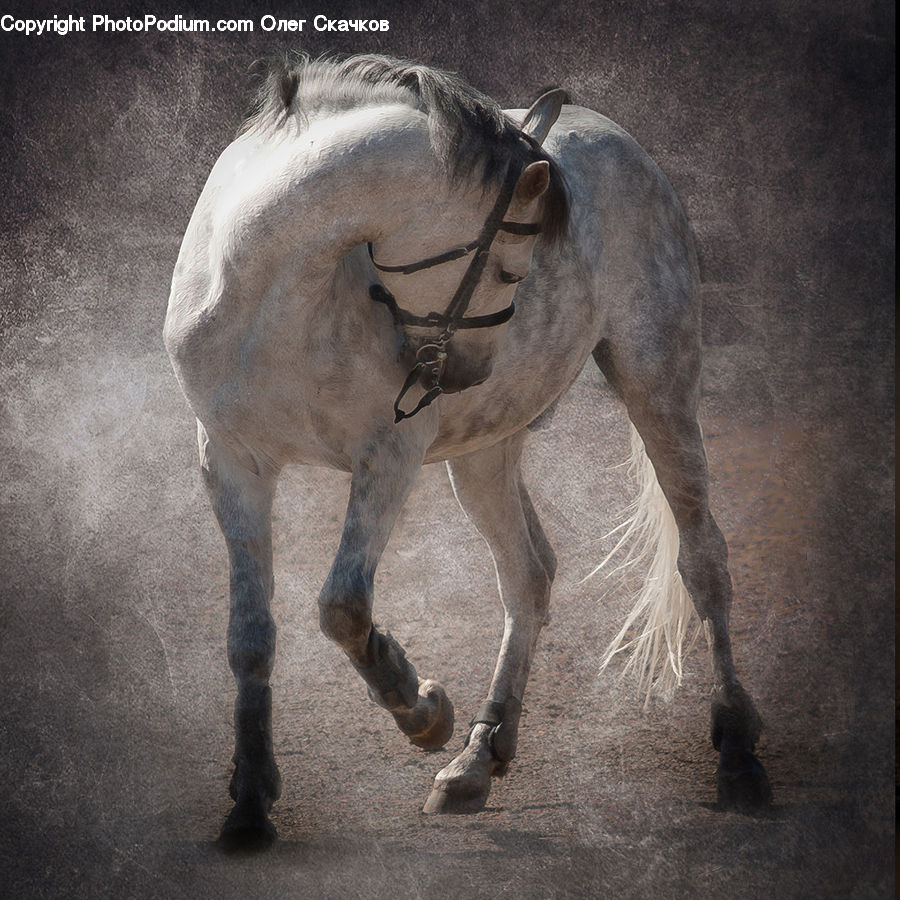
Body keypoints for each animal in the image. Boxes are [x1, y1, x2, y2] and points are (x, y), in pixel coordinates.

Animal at [164, 53, 772, 849]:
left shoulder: (388, 454)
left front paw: (422, 710)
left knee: (702, 560)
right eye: (513, 264)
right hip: (483, 452)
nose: (464, 374)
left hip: (657, 385)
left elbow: (343, 609)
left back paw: (736, 755)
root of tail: (621, 140)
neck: (270, 289)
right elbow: (250, 635)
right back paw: (478, 760)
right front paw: (248, 806)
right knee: (529, 574)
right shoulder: (232, 464)